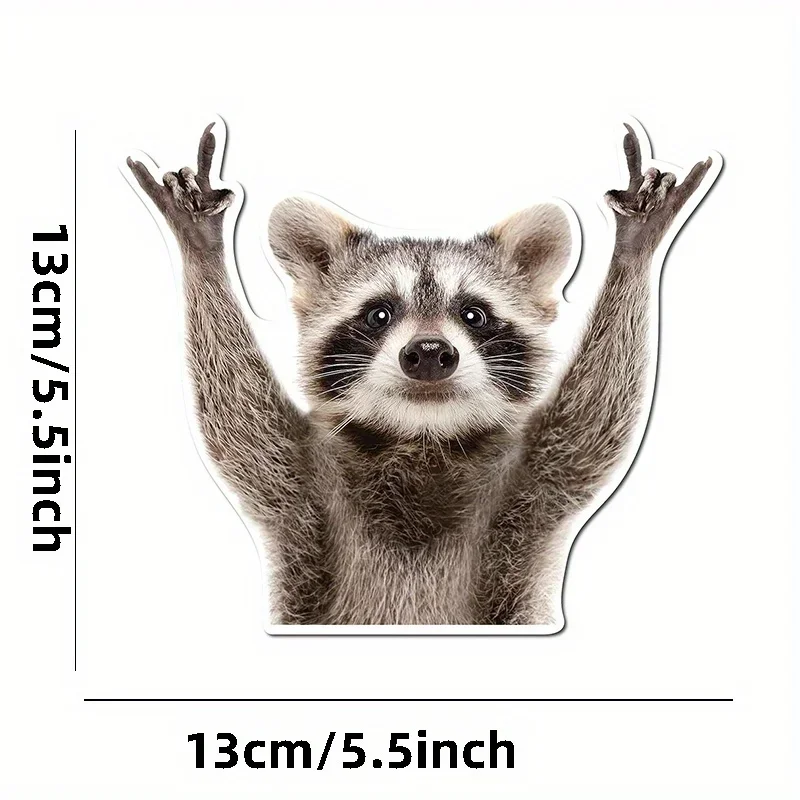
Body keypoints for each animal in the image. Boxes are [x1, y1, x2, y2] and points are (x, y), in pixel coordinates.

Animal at [126, 121, 717, 625]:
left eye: (474, 314)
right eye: (379, 314)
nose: (430, 353)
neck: (422, 437)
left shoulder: (534, 486)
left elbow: (596, 419)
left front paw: (634, 250)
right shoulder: (300, 487)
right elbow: (237, 418)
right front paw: (201, 249)